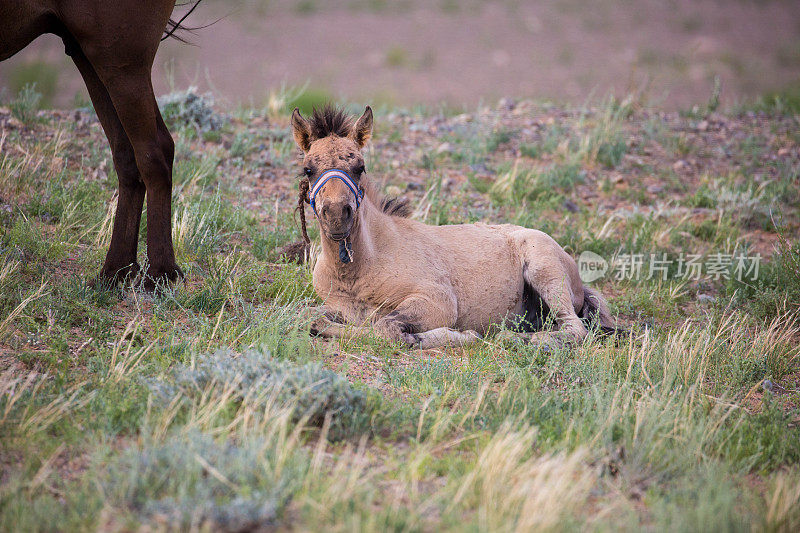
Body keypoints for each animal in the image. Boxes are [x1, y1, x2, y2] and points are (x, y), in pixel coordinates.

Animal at [1, 1, 202, 286]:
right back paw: (117, 271)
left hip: (120, 61)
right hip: (88, 53)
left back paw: (159, 273)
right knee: (131, 154)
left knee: (152, 153)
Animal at [294, 106, 620, 352]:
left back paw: (512, 339)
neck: (360, 270)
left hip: (545, 270)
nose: (338, 215)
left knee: (574, 329)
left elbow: (385, 326)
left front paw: (457, 336)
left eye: (360, 167)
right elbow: (309, 318)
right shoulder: (336, 306)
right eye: (308, 169)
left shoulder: (436, 301)